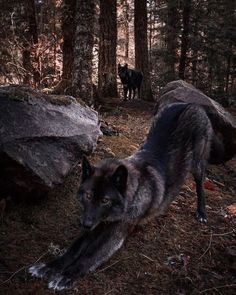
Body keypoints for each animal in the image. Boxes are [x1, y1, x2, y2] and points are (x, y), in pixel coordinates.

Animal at [29, 103, 225, 290]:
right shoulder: (96, 224)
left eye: (105, 200)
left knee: (200, 184)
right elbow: (73, 249)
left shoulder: (116, 232)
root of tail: (190, 104)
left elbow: (90, 256)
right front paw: (49, 267)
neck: (132, 195)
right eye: (89, 195)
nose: (85, 224)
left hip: (198, 163)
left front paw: (67, 276)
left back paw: (201, 212)